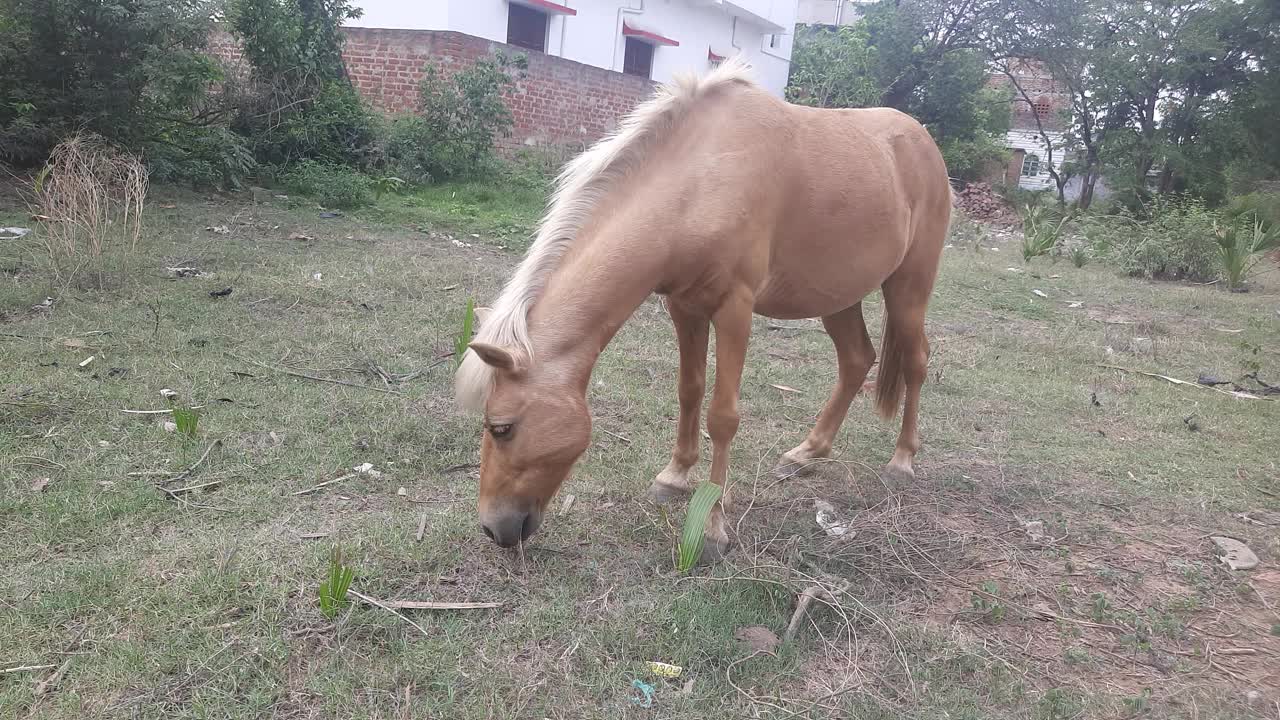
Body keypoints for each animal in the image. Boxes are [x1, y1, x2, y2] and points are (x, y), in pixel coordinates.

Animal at [458, 57, 952, 561]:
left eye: (501, 428)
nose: (494, 528)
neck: (700, 183)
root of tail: (923, 142)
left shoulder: (735, 308)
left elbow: (723, 415)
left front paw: (713, 527)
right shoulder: (685, 307)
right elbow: (689, 391)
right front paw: (674, 477)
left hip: (909, 287)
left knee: (916, 361)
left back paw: (902, 461)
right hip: (838, 295)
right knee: (856, 360)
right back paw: (806, 453)